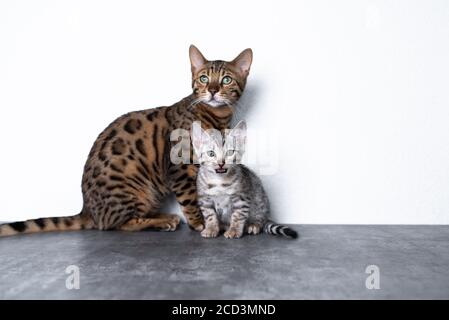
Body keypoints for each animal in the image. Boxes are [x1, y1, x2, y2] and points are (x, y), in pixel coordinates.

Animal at [0, 44, 252, 235]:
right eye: (203, 78)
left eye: (226, 80)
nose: (213, 90)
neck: (216, 117)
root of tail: (87, 209)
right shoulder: (180, 166)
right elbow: (191, 198)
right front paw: (199, 222)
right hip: (130, 188)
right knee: (117, 224)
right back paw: (163, 221)